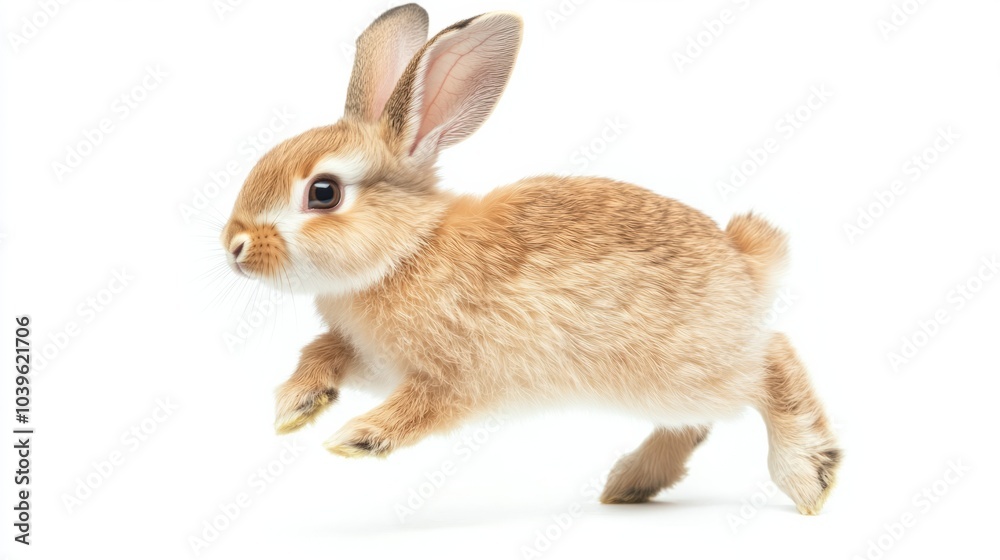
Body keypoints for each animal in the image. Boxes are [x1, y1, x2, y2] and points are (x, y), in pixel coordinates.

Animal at [221, 3, 840, 515]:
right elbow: (323, 350)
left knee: (774, 363)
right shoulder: (374, 360)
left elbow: (423, 406)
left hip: (686, 368)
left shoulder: (460, 374)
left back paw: (809, 475)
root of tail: (745, 259)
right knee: (696, 422)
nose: (234, 246)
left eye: (323, 193)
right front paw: (297, 405)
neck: (408, 249)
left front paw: (358, 436)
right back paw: (631, 484)